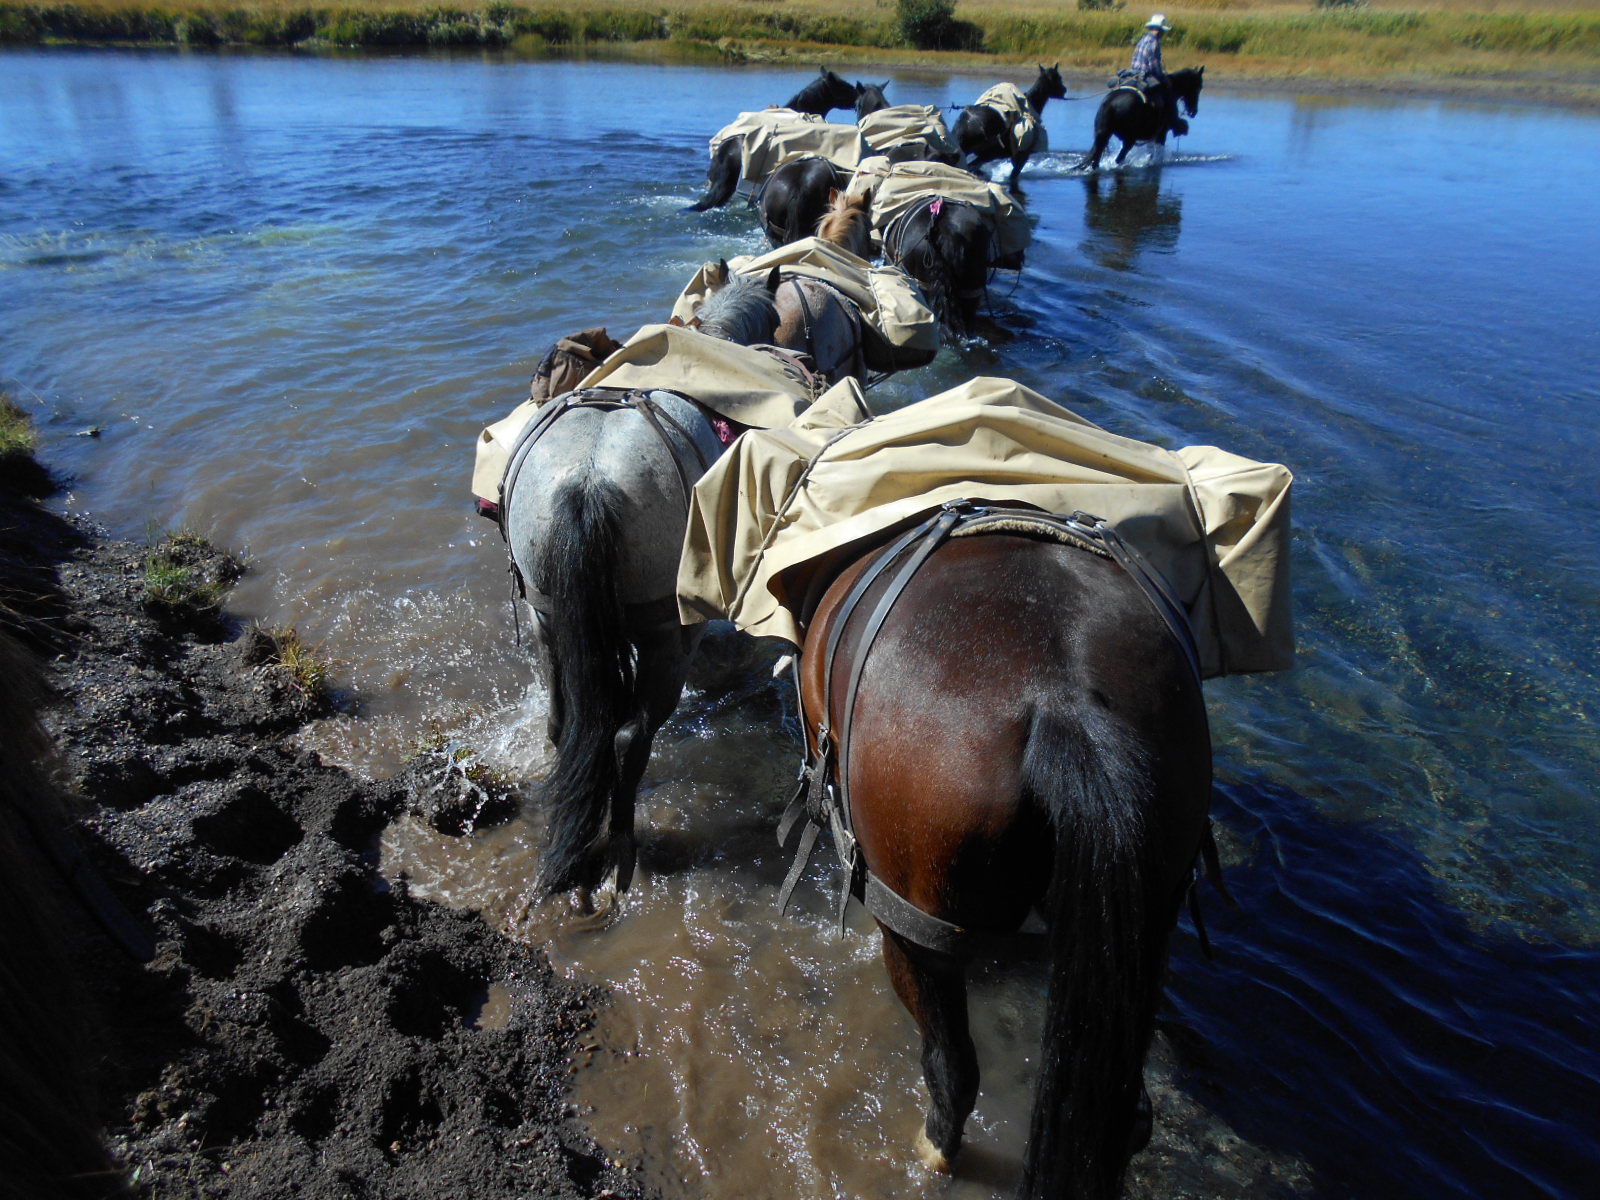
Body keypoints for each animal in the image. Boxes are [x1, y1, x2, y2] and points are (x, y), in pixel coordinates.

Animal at [502, 272, 784, 908]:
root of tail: (587, 480)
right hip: (664, 636)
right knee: (630, 736)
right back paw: (620, 857)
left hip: (550, 622)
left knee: (567, 725)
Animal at [793, 508, 1203, 1200]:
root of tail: (1066, 701)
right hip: (1142, 926)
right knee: (1128, 1114)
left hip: (919, 929)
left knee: (952, 1069)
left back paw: (934, 1149)